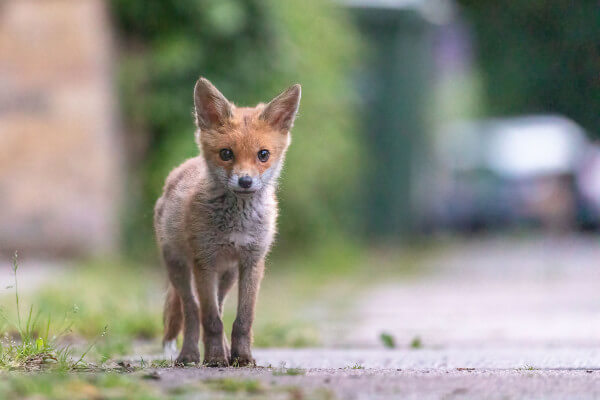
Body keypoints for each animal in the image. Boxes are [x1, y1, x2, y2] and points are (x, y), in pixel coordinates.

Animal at [154, 76, 300, 368]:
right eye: (226, 154)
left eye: (263, 154)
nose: (245, 181)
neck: (237, 225)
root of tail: (180, 169)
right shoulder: (204, 262)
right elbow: (210, 320)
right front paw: (213, 358)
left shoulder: (251, 262)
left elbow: (243, 320)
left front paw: (241, 357)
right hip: (180, 269)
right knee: (193, 310)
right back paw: (190, 355)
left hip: (227, 275)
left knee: (218, 308)